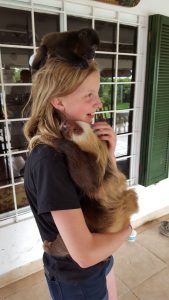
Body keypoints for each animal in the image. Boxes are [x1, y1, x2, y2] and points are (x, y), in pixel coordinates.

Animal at [43, 119, 139, 255]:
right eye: (71, 121)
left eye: (77, 129)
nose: (65, 122)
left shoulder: (94, 168)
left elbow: (87, 180)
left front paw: (54, 140)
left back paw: (48, 246)